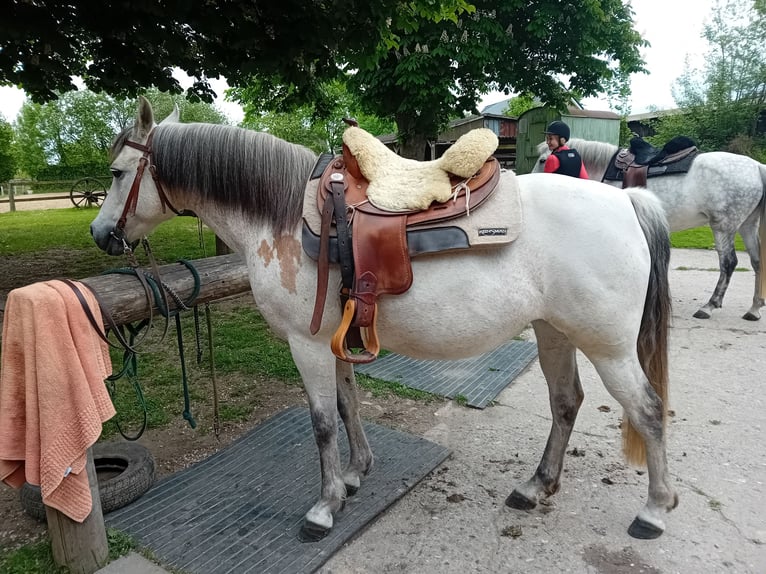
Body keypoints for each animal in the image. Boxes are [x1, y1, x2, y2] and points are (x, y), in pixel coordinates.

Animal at [90, 97, 677, 541]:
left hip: (608, 346)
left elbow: (322, 422)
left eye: (118, 173)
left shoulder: (305, 343)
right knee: (566, 402)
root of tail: (629, 202)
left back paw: (653, 510)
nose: (100, 235)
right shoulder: (334, 338)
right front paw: (355, 475)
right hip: (554, 331)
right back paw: (535, 487)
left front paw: (324, 507)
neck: (281, 217)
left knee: (648, 410)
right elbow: (348, 405)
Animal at [533, 138, 766, 321]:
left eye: (543, 160)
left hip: (724, 226)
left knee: (728, 263)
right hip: (747, 225)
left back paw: (709, 306)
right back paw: (754, 308)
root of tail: (756, 166)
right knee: (757, 261)